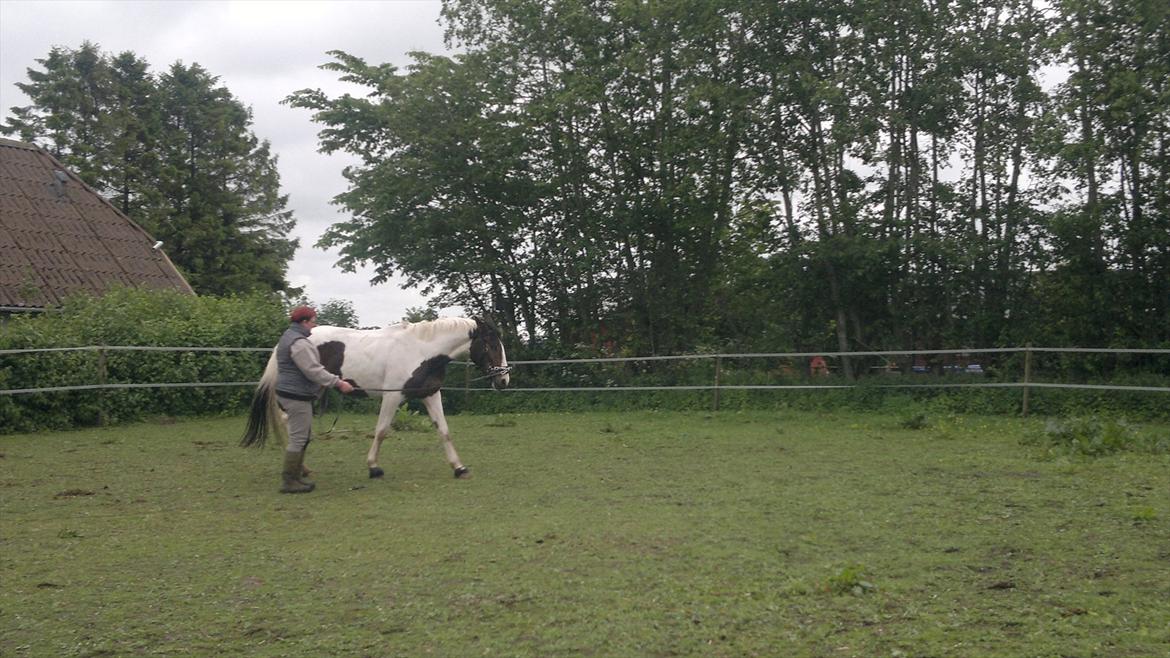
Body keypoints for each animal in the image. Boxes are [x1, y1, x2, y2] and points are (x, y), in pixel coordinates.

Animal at [239, 313, 510, 475]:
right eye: (492, 345)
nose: (504, 380)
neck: (422, 351)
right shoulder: (392, 396)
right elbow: (381, 431)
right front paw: (373, 467)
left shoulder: (430, 395)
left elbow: (444, 431)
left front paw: (458, 467)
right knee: (290, 421)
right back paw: (301, 467)